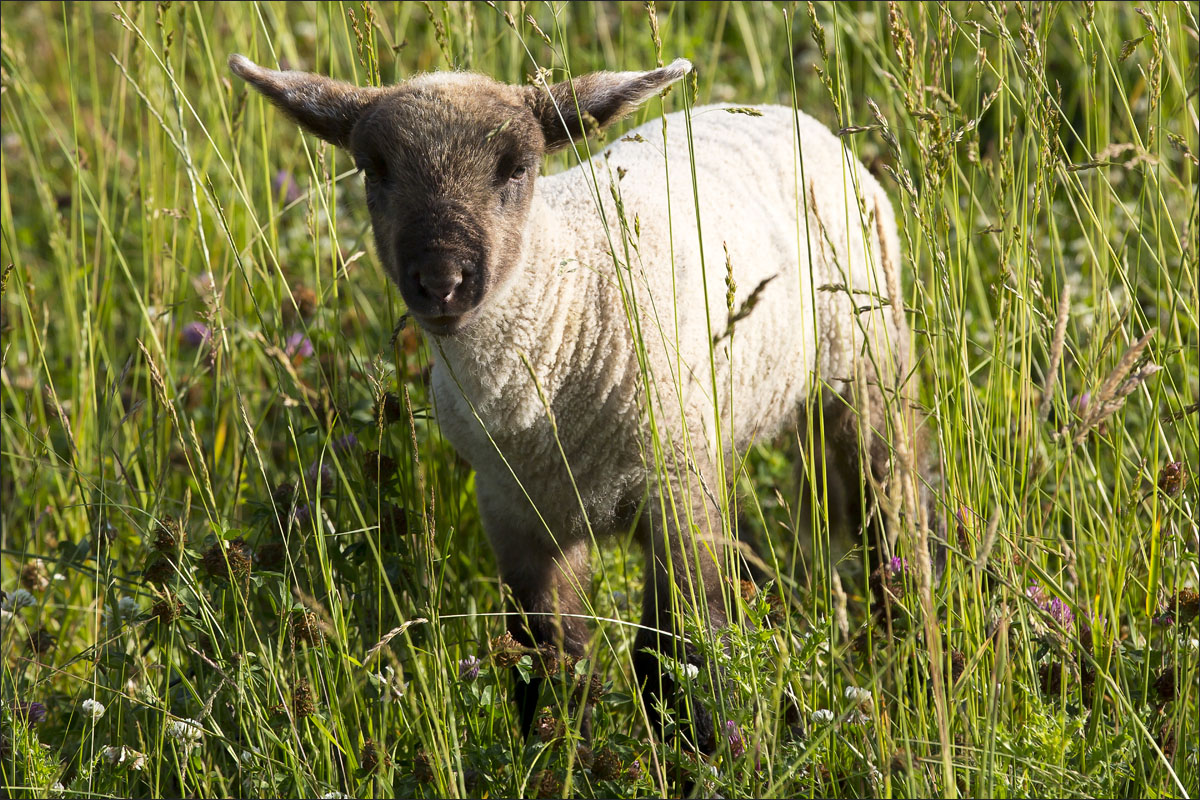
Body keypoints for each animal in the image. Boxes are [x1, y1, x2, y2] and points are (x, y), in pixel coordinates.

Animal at [229, 53, 921, 753]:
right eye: (375, 169)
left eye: (517, 167)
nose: (442, 282)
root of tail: (787, 113)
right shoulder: (516, 518)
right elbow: (549, 661)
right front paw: (559, 753)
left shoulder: (674, 493)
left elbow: (679, 653)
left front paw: (707, 751)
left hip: (867, 370)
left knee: (892, 512)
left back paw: (907, 634)